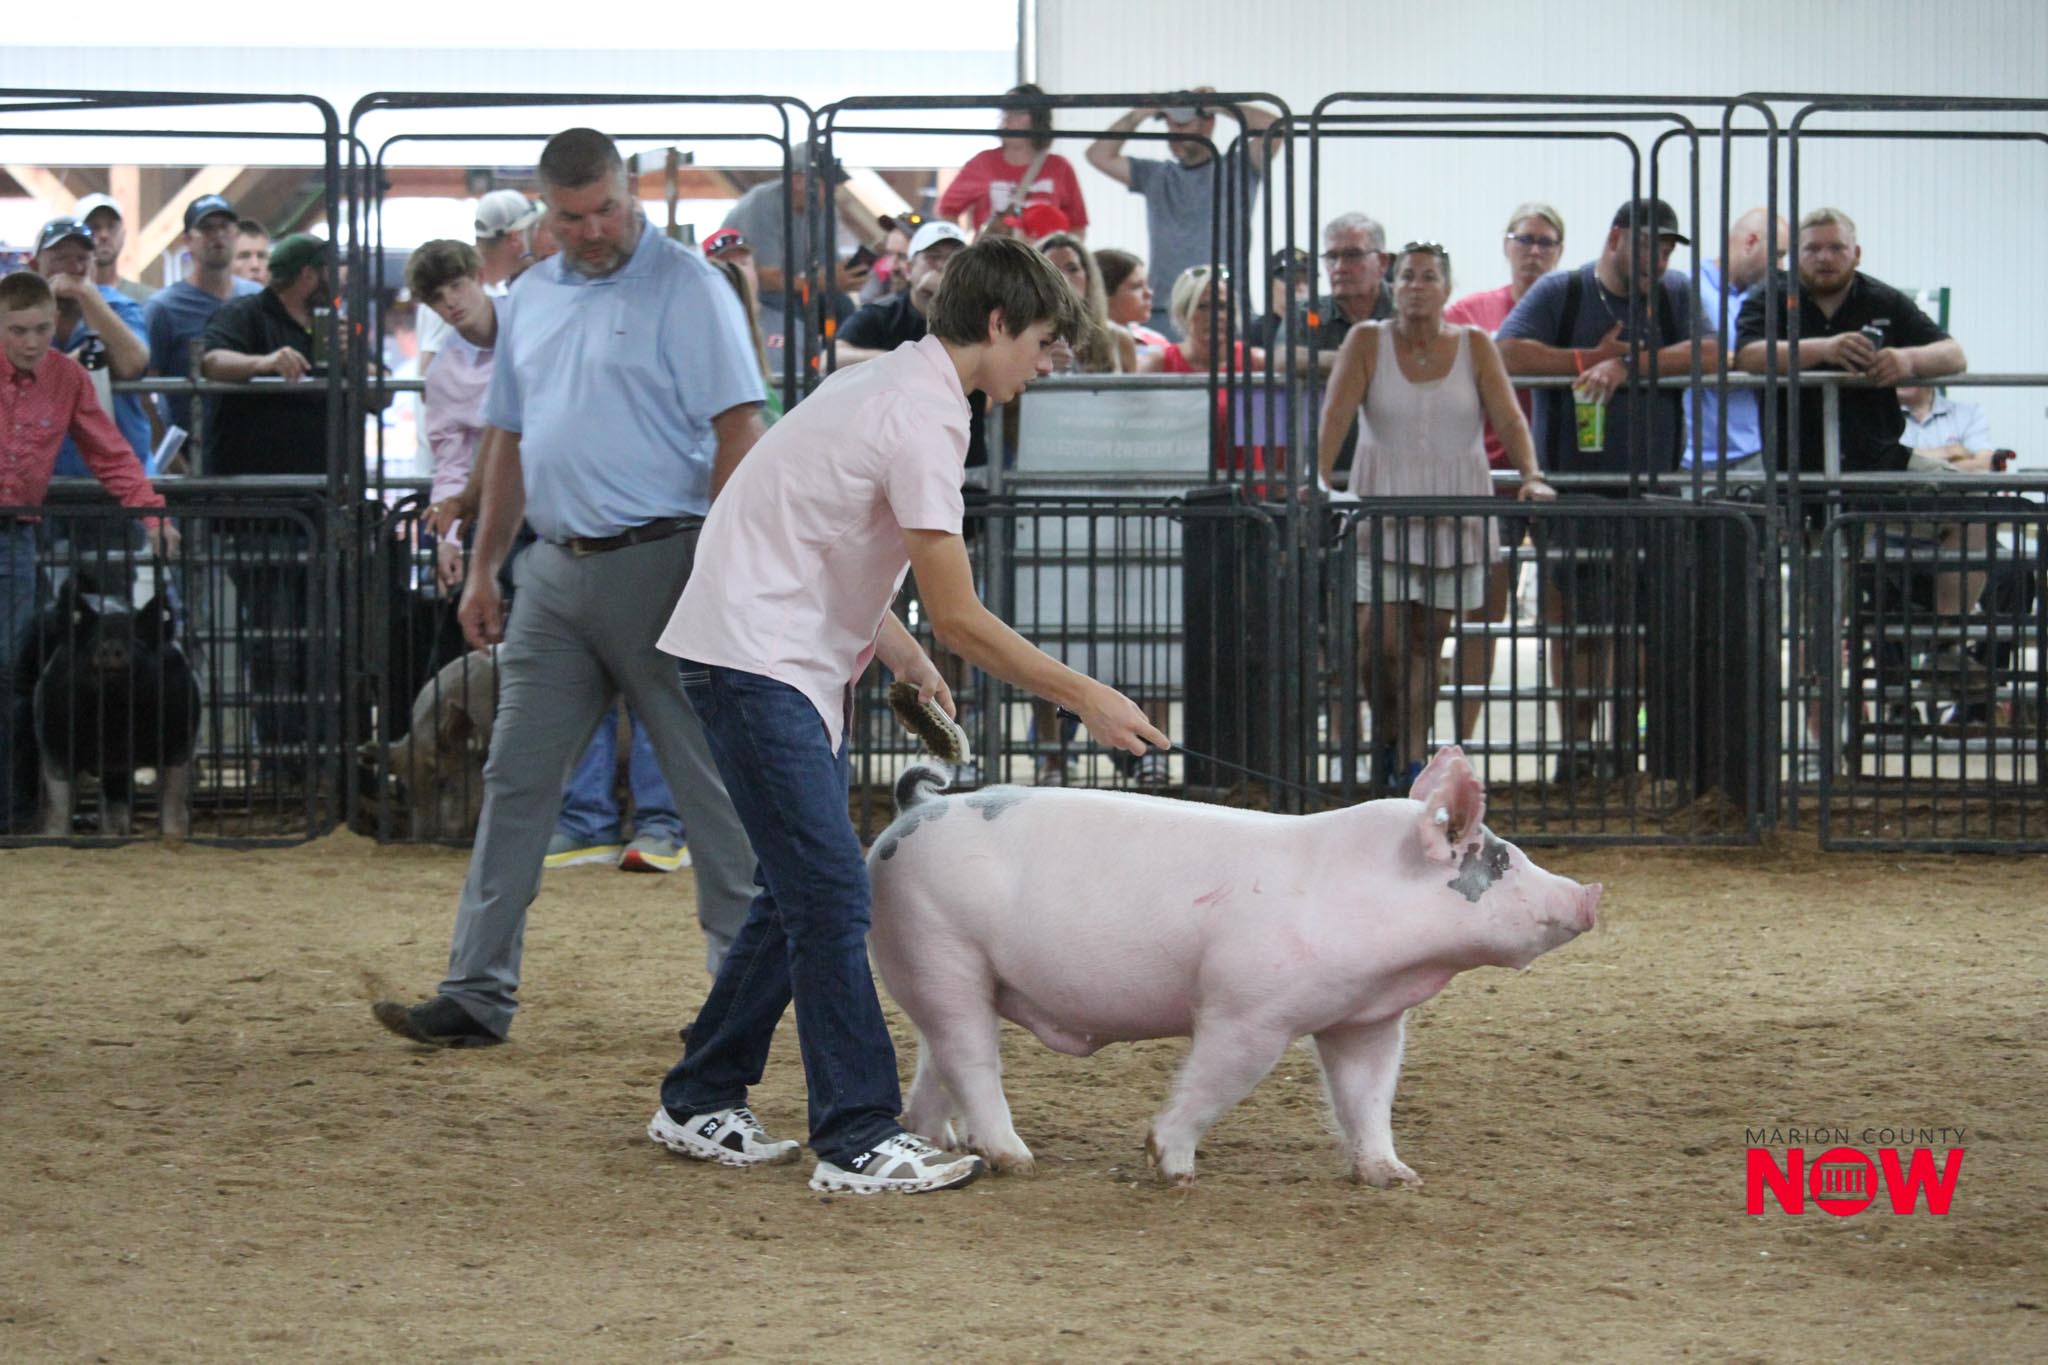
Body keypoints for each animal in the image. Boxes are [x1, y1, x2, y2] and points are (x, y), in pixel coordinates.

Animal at [32, 582, 200, 838]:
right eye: (93, 638)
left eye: (138, 638)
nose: (111, 647)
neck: (116, 713)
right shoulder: (54, 740)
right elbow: (58, 805)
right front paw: (53, 837)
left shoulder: (180, 741)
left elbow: (173, 802)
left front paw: (174, 837)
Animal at [865, 745, 1600, 1188]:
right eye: (1501, 859)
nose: (1588, 892)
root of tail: (914, 807)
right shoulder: (1250, 1009)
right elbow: (1215, 1080)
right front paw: (1174, 1168)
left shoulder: (1364, 1019)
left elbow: (1367, 1095)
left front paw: (1395, 1177)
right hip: (940, 943)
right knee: (970, 1055)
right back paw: (1015, 1158)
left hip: (944, 968)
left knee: (937, 1055)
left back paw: (942, 1142)